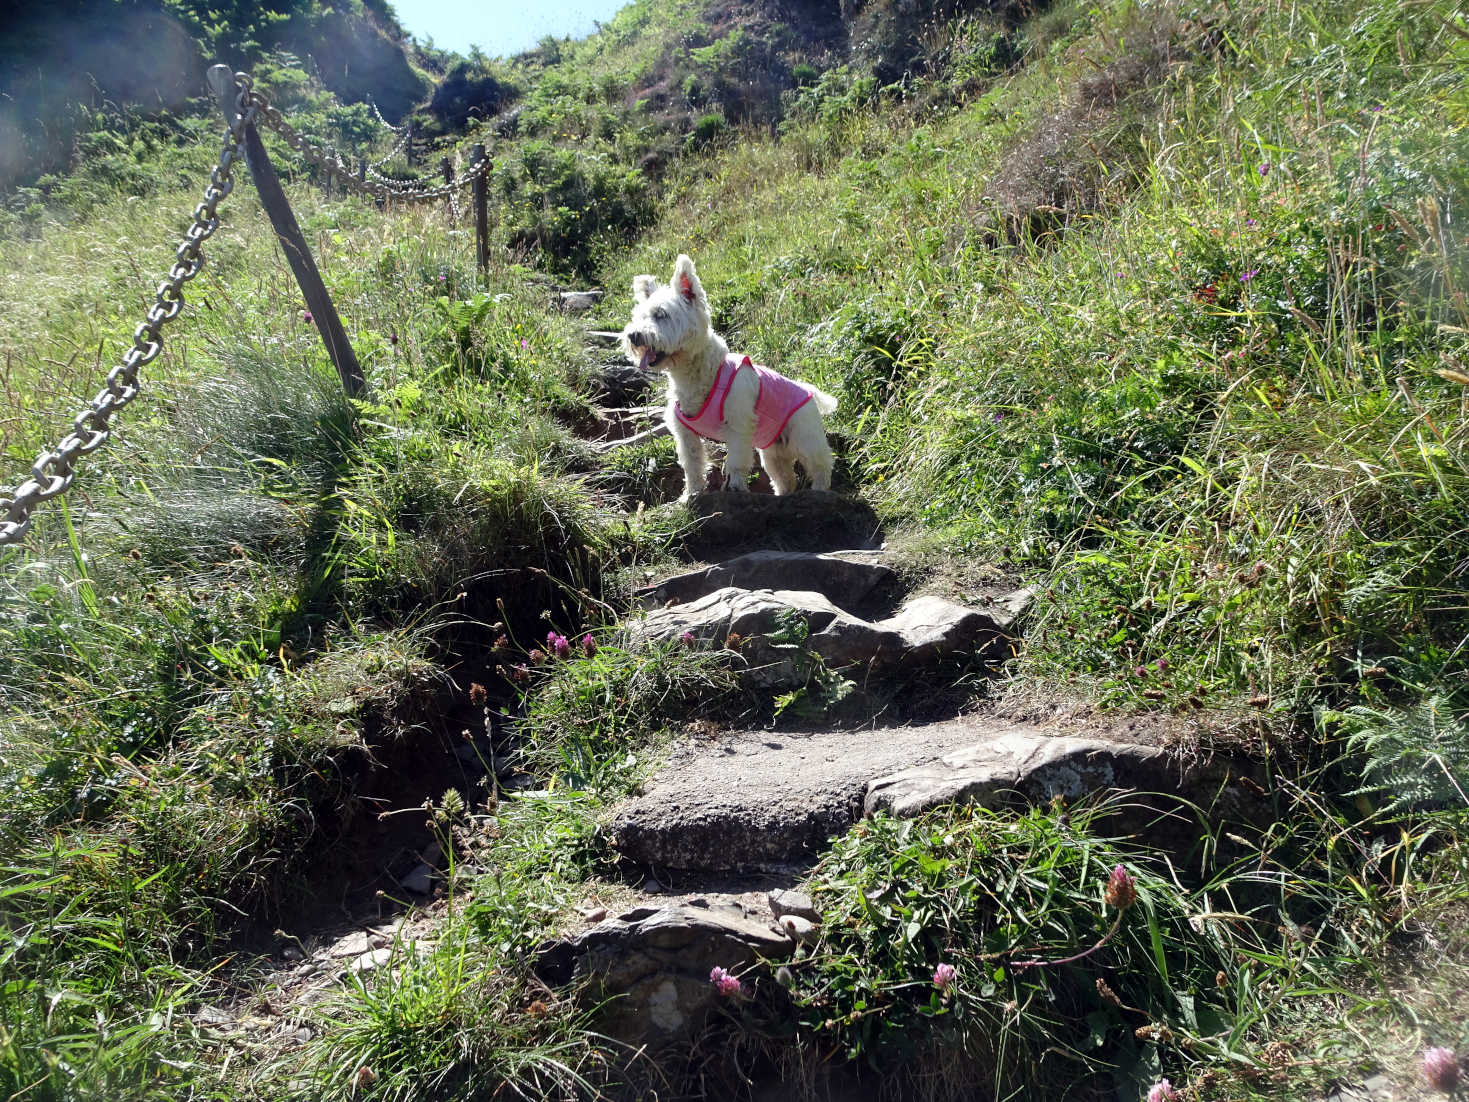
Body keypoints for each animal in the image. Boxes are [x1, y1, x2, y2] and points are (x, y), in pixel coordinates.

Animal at [619, 254, 840, 499]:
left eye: (661, 314)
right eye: (639, 316)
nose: (633, 335)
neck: (695, 372)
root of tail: (809, 391)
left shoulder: (738, 424)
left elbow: (735, 461)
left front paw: (735, 487)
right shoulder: (685, 433)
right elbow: (692, 464)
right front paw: (691, 493)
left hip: (805, 437)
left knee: (821, 465)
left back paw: (819, 490)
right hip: (772, 452)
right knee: (785, 477)